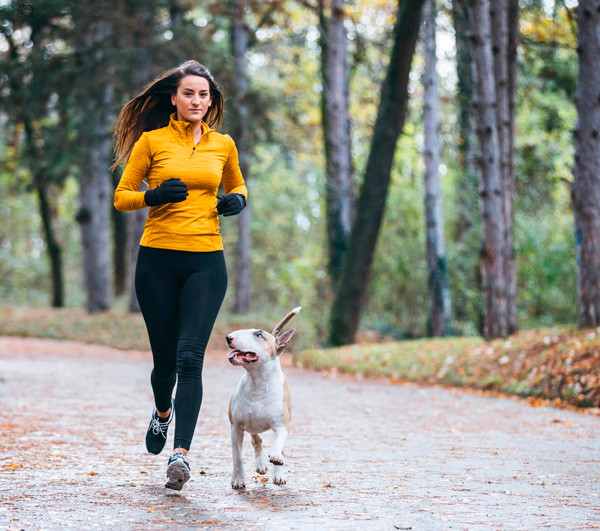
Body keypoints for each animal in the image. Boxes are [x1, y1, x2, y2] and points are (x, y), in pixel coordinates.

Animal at [225, 306, 300, 488]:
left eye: (259, 335)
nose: (229, 337)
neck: (256, 382)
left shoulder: (281, 426)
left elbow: (278, 445)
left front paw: (276, 459)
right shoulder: (236, 427)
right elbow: (237, 456)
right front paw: (238, 479)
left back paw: (278, 473)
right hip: (251, 426)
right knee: (256, 440)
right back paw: (260, 464)